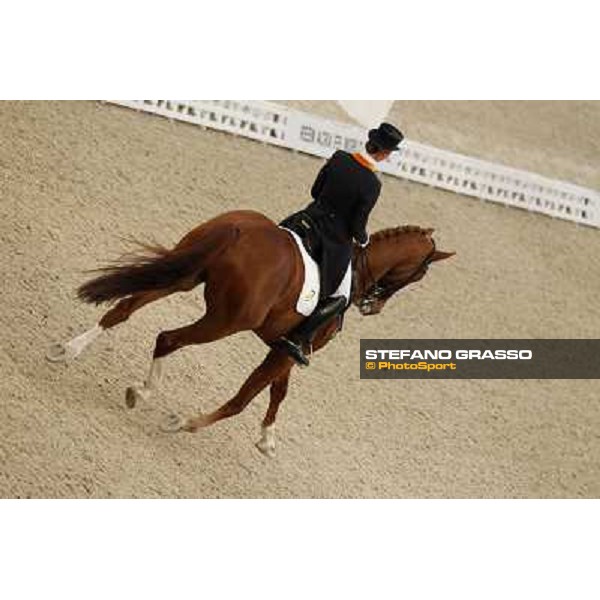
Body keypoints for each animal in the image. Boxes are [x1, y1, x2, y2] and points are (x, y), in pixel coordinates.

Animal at [47, 210, 452, 454]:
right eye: (421, 273)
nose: (373, 306)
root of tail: (241, 229)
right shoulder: (289, 350)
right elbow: (244, 399)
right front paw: (184, 423)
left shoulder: (284, 347)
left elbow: (279, 391)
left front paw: (267, 438)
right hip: (224, 321)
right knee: (168, 339)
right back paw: (141, 391)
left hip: (183, 276)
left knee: (123, 310)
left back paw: (67, 350)